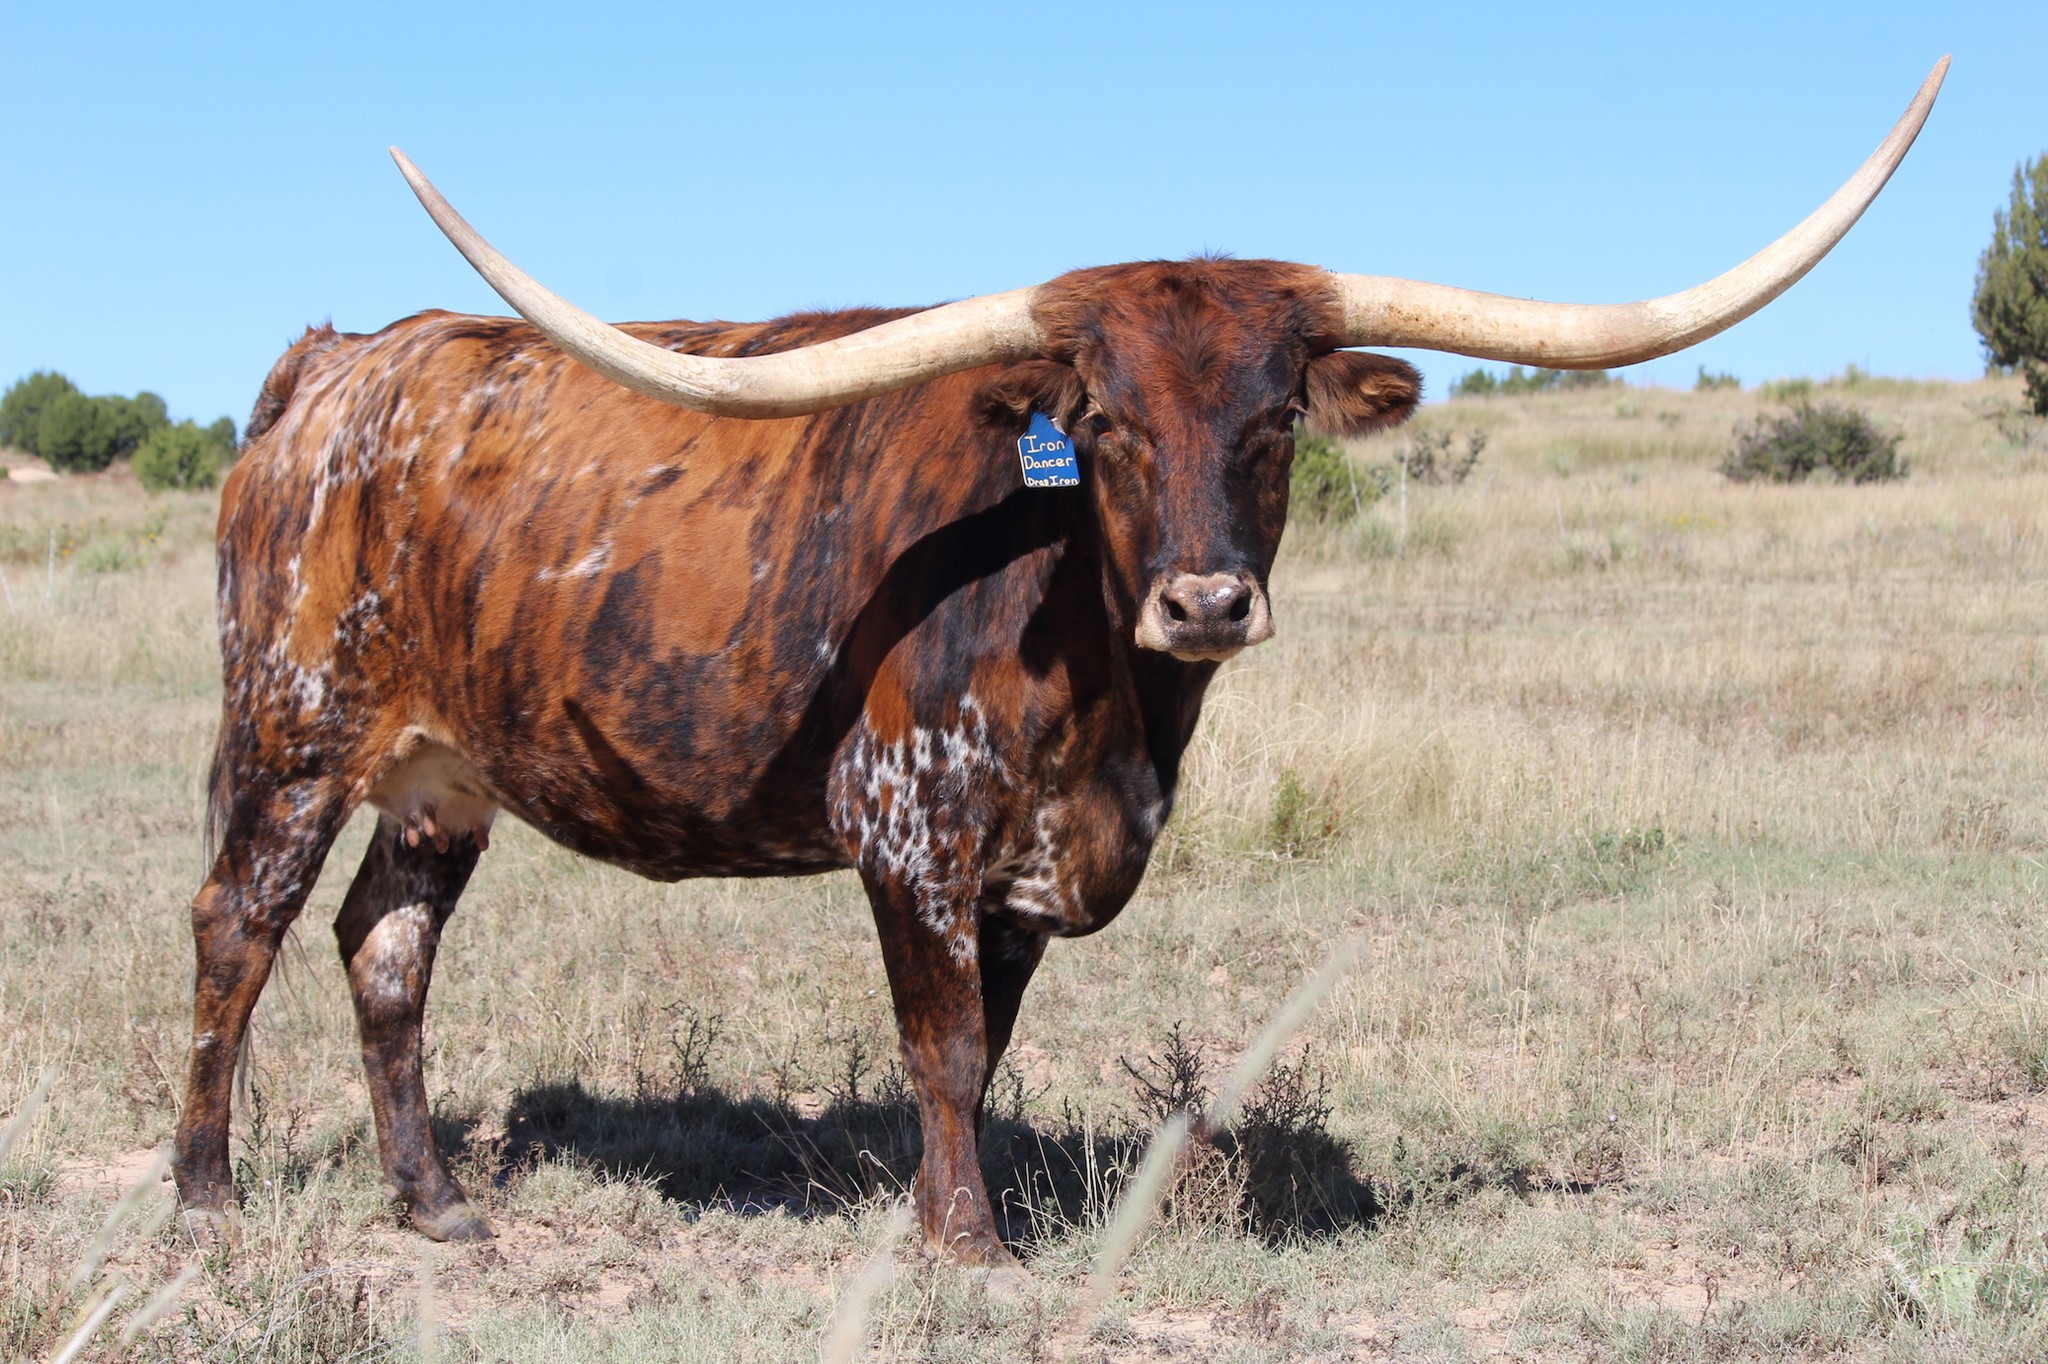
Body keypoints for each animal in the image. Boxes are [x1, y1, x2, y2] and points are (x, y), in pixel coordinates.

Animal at [174, 61, 1943, 1269]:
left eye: (1276, 419)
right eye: (1099, 422)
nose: (1208, 601)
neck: (1106, 691)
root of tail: (338, 368)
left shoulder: (1030, 869)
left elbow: (986, 1045)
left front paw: (952, 1209)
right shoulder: (907, 830)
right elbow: (943, 1043)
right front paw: (968, 1245)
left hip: (439, 776)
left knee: (384, 948)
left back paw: (432, 1207)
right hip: (289, 732)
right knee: (235, 930)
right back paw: (202, 1200)